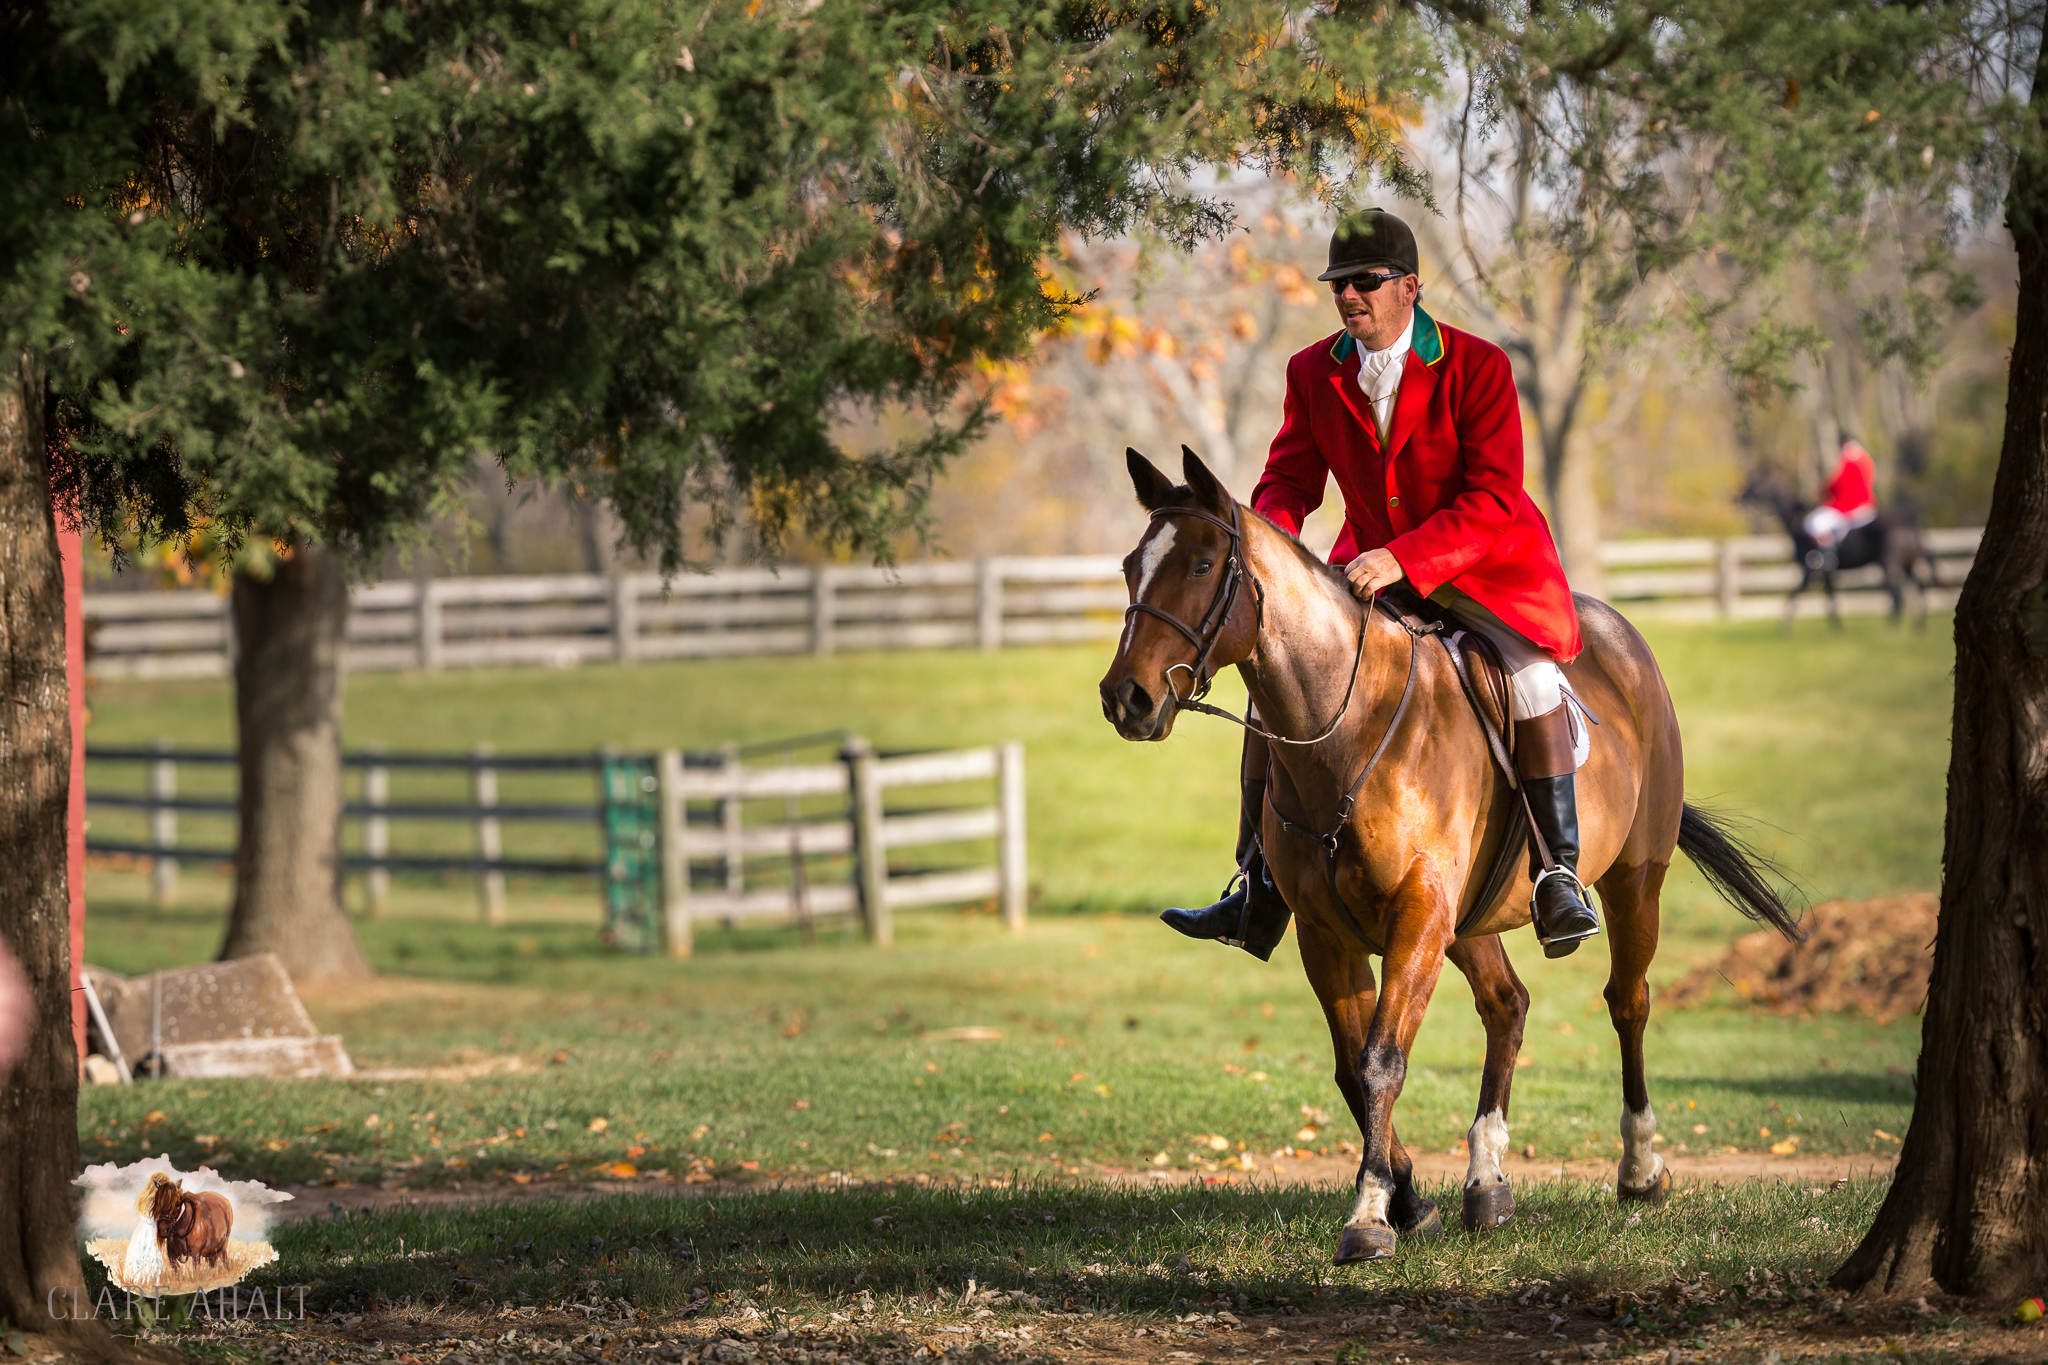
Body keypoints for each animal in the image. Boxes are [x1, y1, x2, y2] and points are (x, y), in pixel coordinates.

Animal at [1097, 454, 1802, 1268]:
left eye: (1204, 565)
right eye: (1130, 567)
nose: (1125, 698)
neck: (1350, 728)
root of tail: (1620, 634)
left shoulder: (1417, 918)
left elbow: (1380, 1060)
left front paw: (1370, 1212)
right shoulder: (1328, 934)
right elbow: (1352, 1066)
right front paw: (1407, 1198)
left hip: (1631, 882)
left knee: (1628, 1001)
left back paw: (1638, 1167)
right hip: (1469, 923)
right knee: (1507, 1005)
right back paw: (1487, 1178)